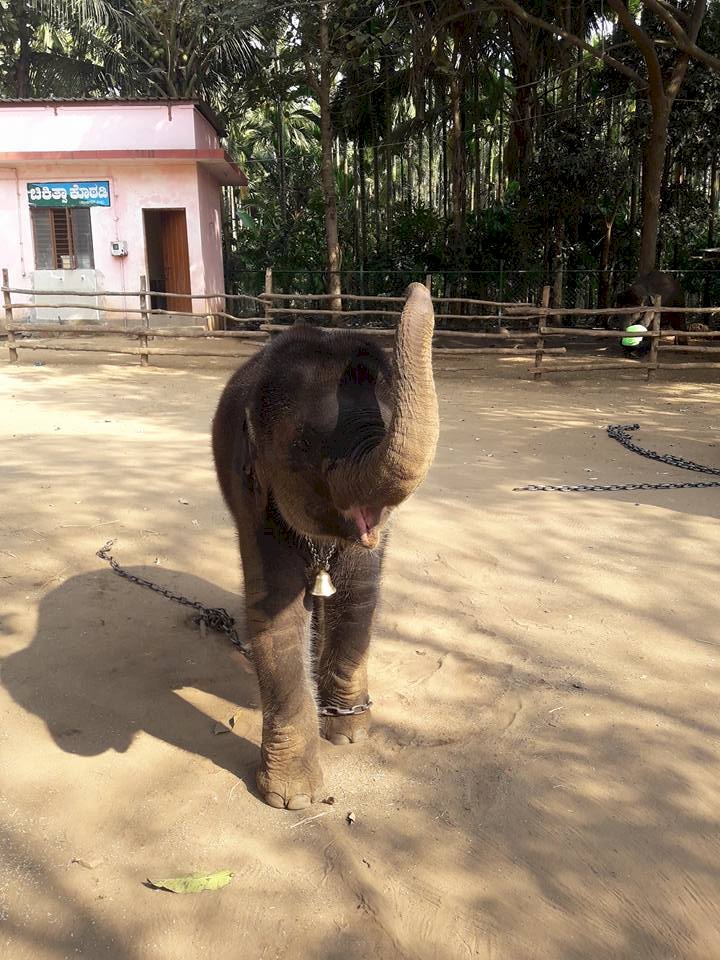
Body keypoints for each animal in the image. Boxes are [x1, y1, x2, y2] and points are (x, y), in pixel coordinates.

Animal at [212, 283, 439, 810]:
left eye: (386, 420)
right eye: (305, 448)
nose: (418, 288)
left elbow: (358, 595)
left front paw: (349, 732)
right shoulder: (255, 502)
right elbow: (274, 610)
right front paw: (293, 799)